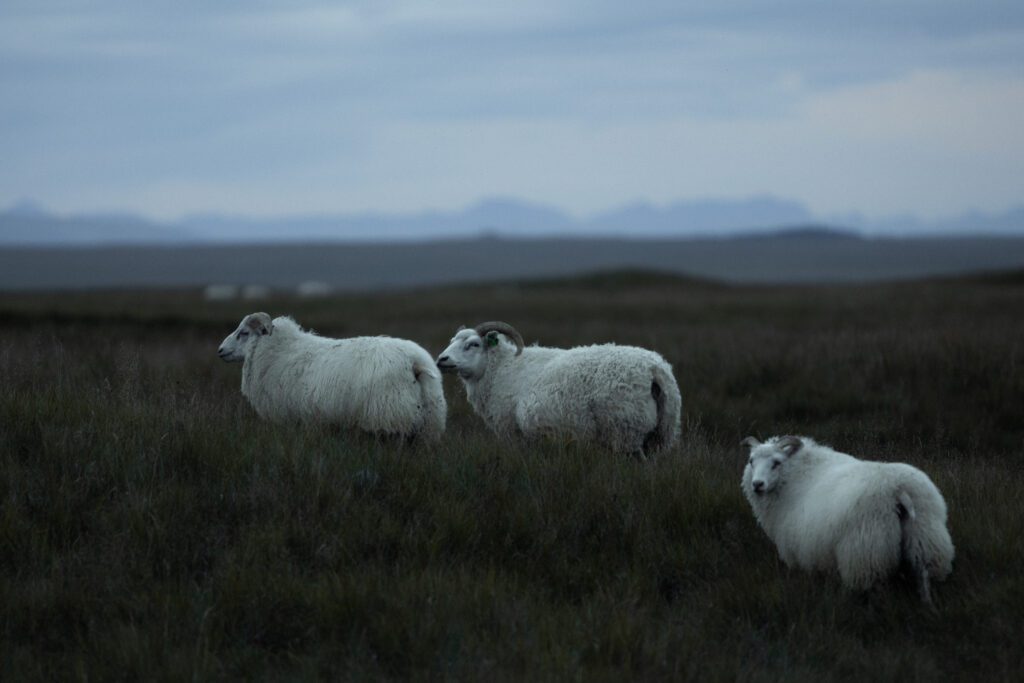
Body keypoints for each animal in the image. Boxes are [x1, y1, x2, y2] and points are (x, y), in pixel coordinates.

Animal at [218, 313, 446, 444]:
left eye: (244, 333)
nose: (220, 350)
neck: (277, 351)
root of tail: (414, 361)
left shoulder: (289, 419)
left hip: (390, 418)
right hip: (428, 425)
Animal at [432, 321, 679, 458]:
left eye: (473, 344)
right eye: (452, 341)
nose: (441, 360)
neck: (501, 368)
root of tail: (653, 369)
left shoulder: (512, 432)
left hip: (625, 430)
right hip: (661, 433)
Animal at [741, 438, 954, 602]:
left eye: (776, 463)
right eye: (751, 461)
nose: (757, 484)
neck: (796, 475)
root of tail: (898, 489)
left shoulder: (796, 555)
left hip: (866, 555)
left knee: (877, 591)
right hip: (925, 539)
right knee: (924, 575)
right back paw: (928, 607)